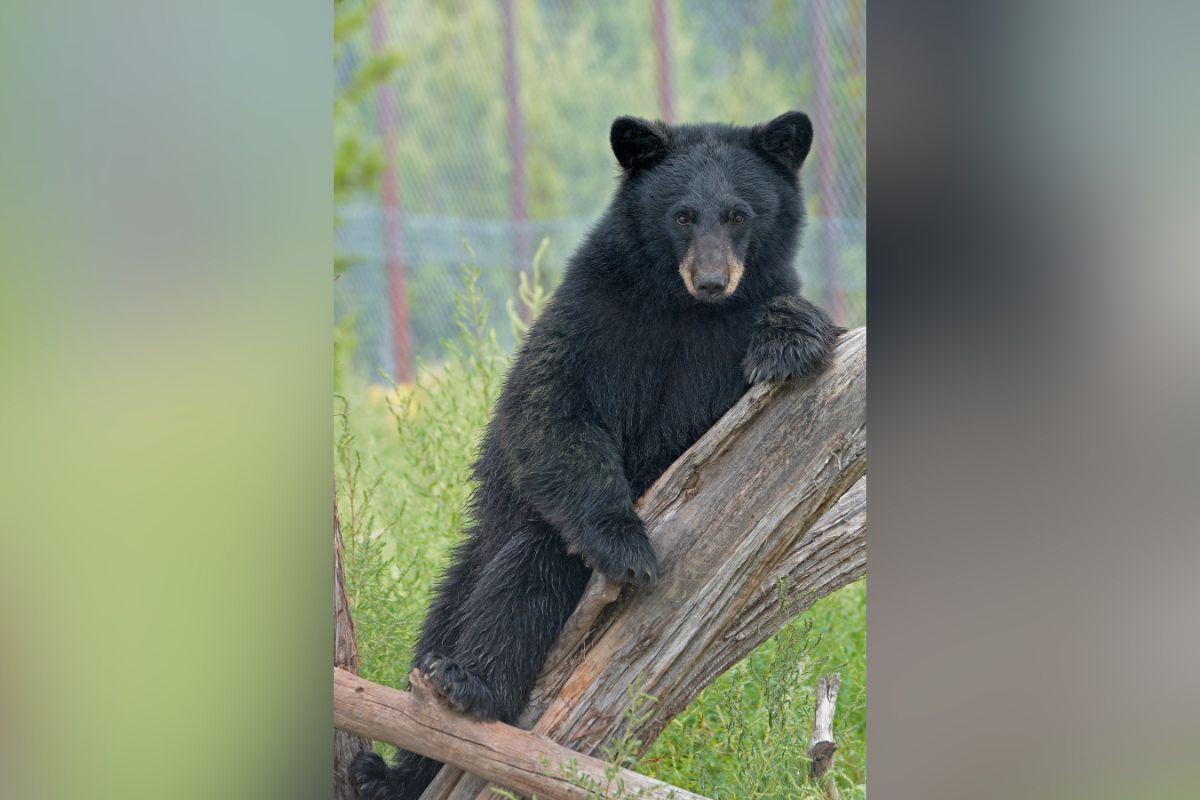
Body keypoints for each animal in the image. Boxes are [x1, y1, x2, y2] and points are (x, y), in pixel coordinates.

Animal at [351, 110, 841, 799]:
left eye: (739, 214)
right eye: (682, 214)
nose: (712, 280)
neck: (683, 310)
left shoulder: (725, 341)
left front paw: (789, 339)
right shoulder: (595, 310)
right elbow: (551, 408)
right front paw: (627, 547)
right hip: (507, 536)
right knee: (515, 578)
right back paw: (456, 693)